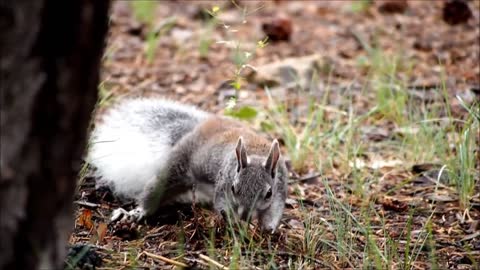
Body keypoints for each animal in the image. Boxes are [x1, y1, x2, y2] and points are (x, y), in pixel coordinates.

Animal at [86, 97, 286, 232]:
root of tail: (196, 128)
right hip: (177, 166)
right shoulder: (223, 185)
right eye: (234, 188)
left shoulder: (280, 187)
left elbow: (274, 211)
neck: (255, 153)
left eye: (268, 193)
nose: (245, 216)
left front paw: (267, 229)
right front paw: (235, 223)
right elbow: (222, 205)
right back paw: (136, 213)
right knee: (154, 192)